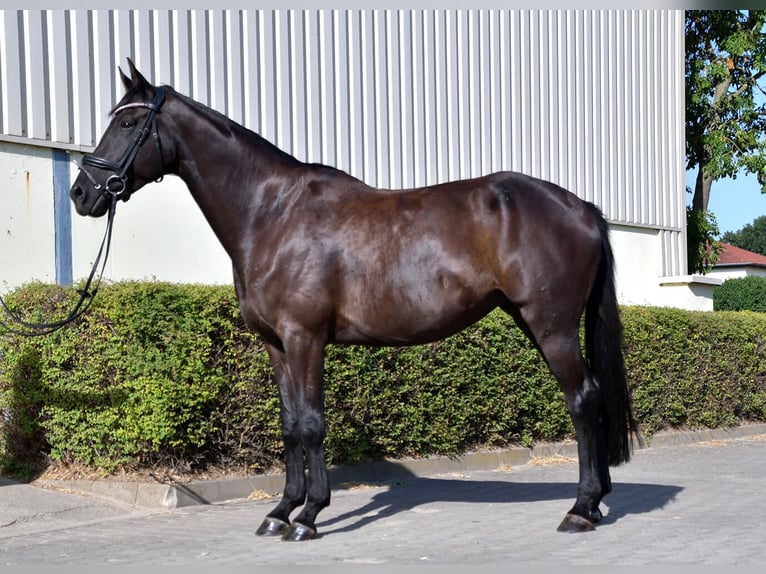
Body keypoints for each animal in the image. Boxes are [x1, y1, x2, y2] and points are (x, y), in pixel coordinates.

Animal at [72, 60, 640, 544]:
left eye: (128, 124)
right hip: (534, 320)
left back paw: (580, 508)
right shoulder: (277, 344)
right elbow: (289, 426)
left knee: (583, 399)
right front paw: (280, 512)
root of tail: (582, 207)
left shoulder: (305, 339)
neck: (272, 212)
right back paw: (595, 503)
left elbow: (311, 423)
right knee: (591, 396)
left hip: (552, 326)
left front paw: (308, 516)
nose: (82, 193)